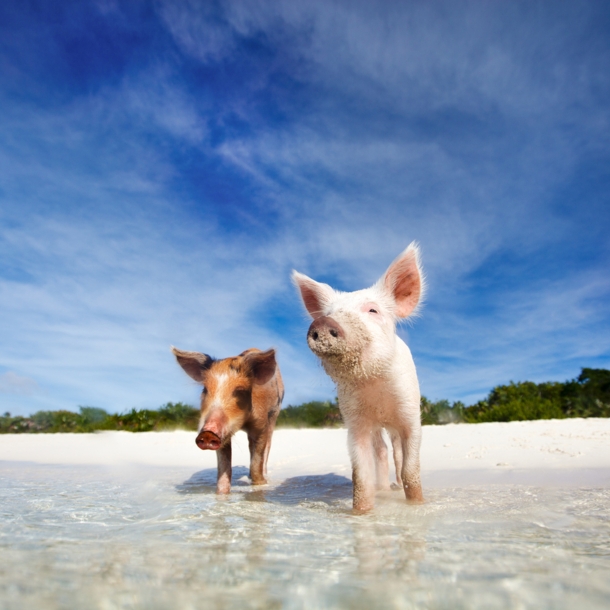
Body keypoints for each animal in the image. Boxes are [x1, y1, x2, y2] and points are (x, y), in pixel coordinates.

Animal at [292, 242, 426, 508]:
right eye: (330, 312)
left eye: (372, 310)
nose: (322, 323)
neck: (374, 384)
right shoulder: (355, 421)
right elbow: (361, 476)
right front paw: (362, 512)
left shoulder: (410, 412)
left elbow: (410, 469)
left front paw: (417, 505)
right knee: (381, 452)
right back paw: (384, 489)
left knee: (396, 452)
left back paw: (395, 487)